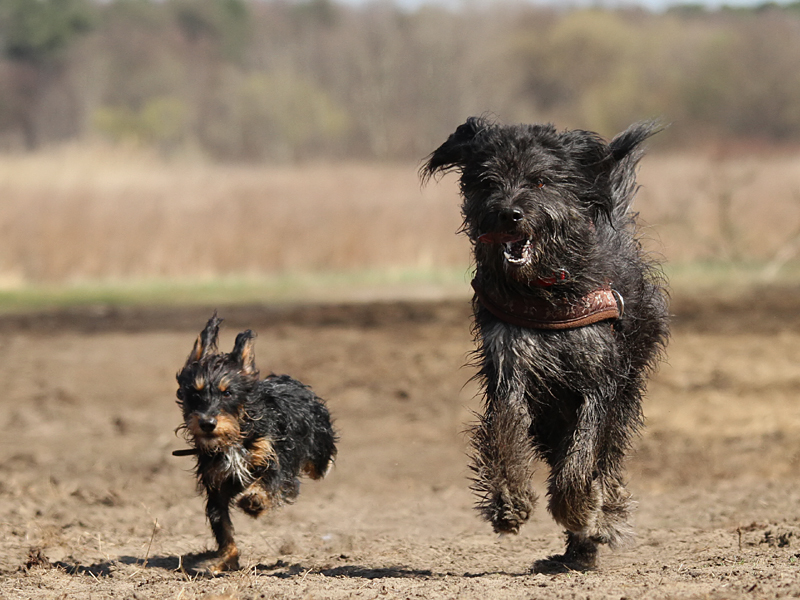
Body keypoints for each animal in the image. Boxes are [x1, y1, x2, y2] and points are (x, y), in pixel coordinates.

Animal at [175, 314, 338, 572]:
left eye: (228, 393)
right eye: (195, 394)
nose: (207, 423)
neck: (235, 436)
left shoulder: (272, 456)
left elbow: (269, 480)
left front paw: (254, 500)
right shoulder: (216, 483)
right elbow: (222, 526)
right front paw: (225, 560)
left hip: (318, 440)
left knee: (318, 463)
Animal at [422, 118, 672, 572]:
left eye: (539, 181)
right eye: (488, 181)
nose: (509, 213)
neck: (544, 291)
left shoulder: (599, 379)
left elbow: (585, 452)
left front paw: (579, 508)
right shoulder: (510, 367)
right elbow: (506, 429)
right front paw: (509, 500)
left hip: (626, 387)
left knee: (608, 455)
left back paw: (602, 521)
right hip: (549, 416)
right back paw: (578, 549)